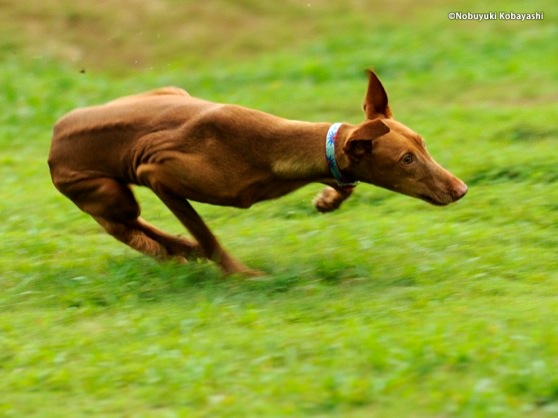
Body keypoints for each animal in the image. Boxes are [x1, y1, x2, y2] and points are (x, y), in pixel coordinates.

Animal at [47, 70, 468, 276]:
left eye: (422, 144)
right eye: (406, 160)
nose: (461, 189)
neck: (275, 149)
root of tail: (55, 132)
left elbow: (342, 182)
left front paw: (327, 200)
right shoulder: (156, 173)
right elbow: (209, 235)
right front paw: (240, 274)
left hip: (170, 92)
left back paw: (178, 248)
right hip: (111, 191)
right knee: (121, 223)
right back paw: (178, 248)